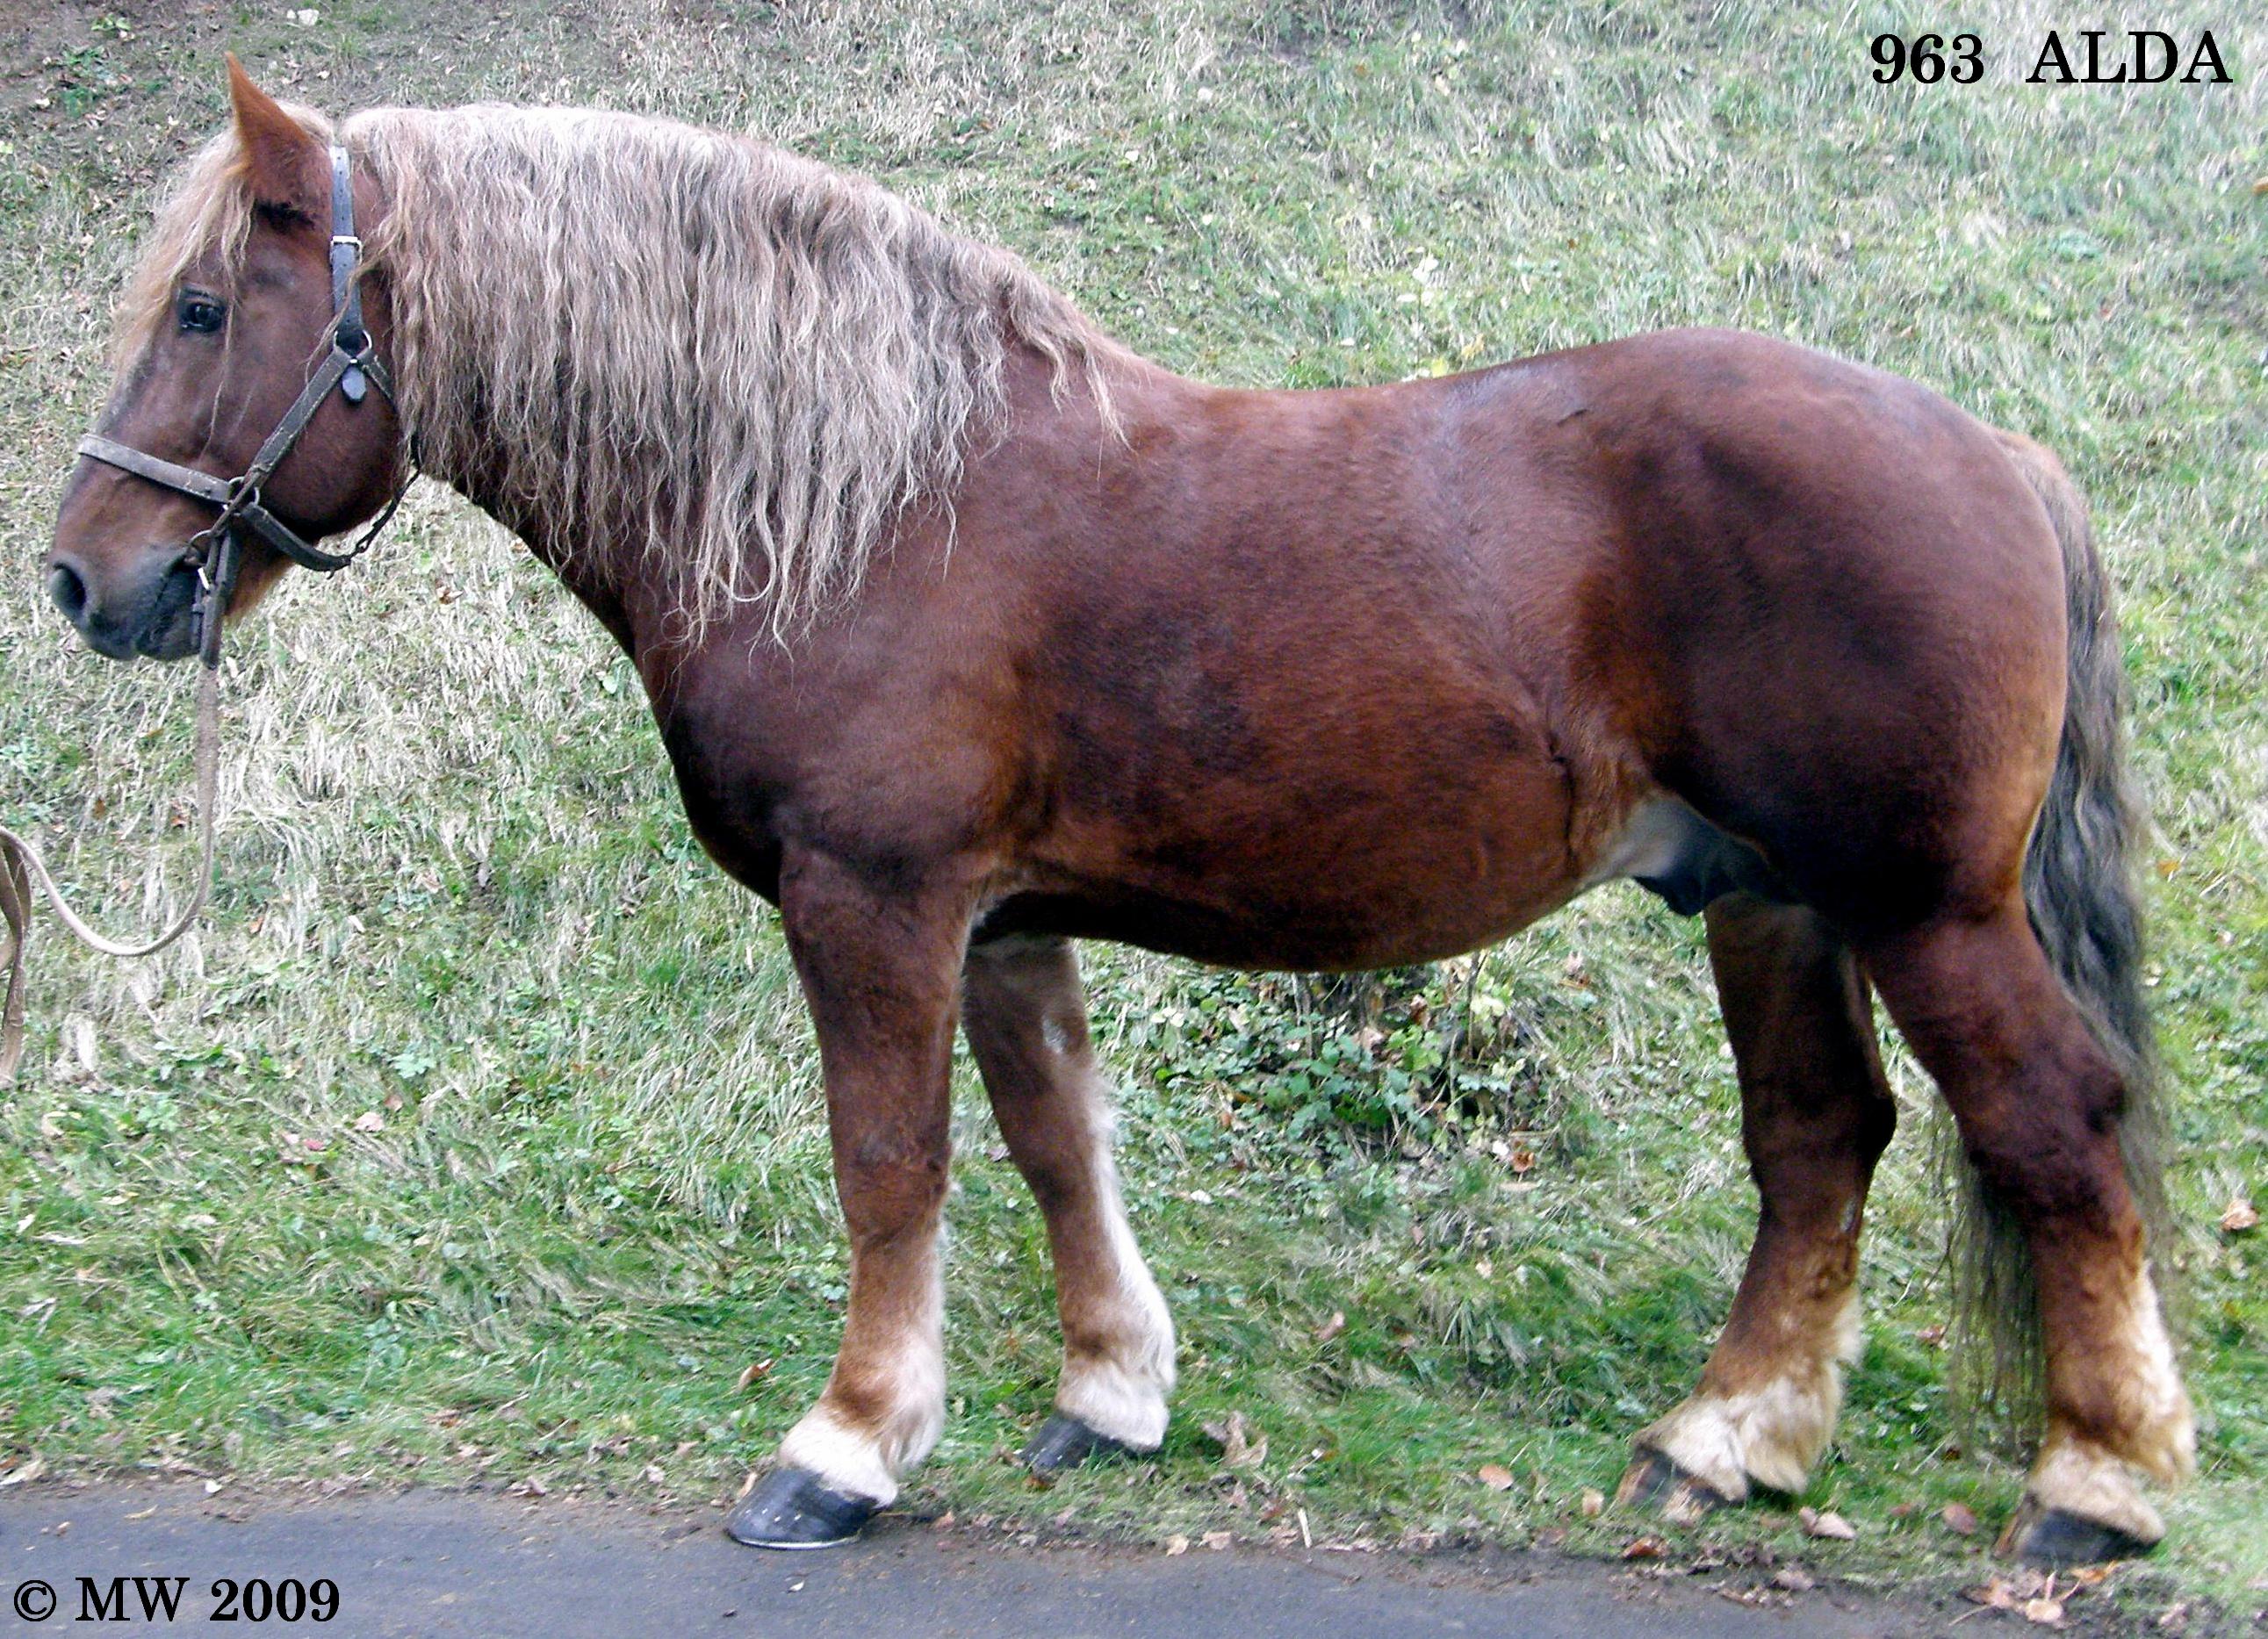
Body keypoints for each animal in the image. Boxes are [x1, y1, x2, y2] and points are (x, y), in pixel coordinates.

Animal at [44, 63, 2186, 1568]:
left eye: (208, 307)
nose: (84, 581)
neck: (863, 499)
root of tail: (1999, 451)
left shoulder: (874, 904)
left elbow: (891, 1161)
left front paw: (843, 1447)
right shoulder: (1003, 921)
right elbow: (1054, 1140)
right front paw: (1110, 1397)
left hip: (1921, 908)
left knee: (2049, 1131)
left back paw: (2092, 1484)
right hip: (1768, 901)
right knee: (1820, 1143)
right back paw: (1724, 1441)